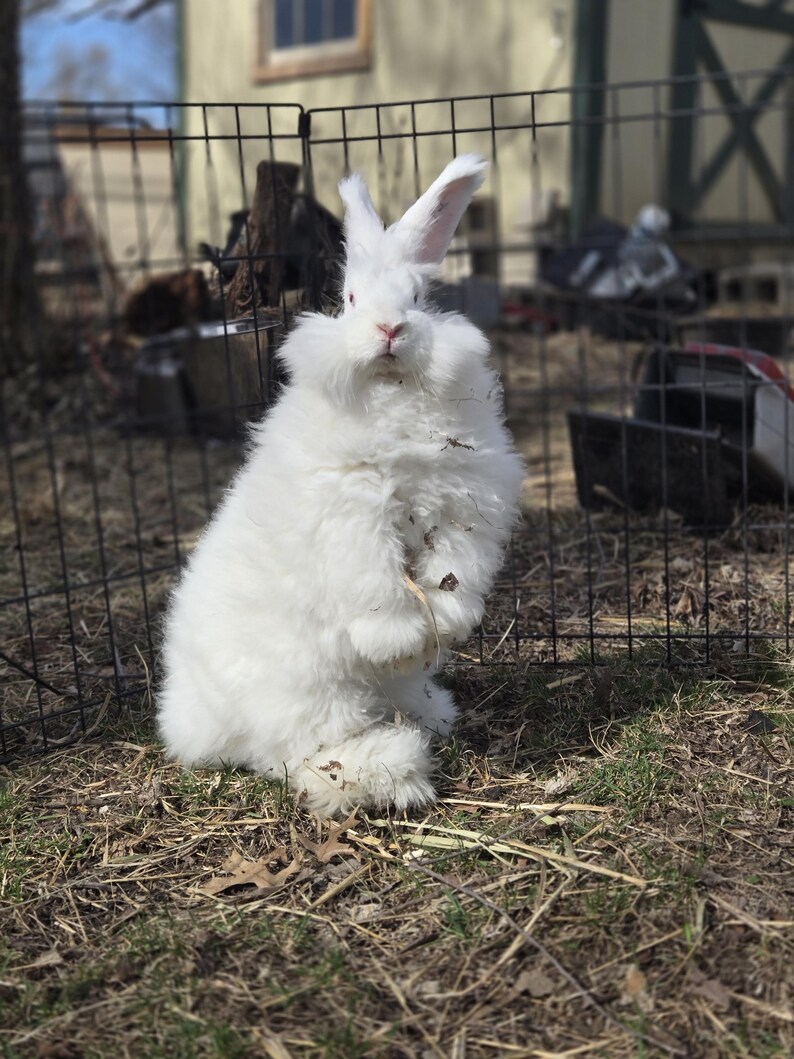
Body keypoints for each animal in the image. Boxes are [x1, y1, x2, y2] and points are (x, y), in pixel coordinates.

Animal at [157, 154, 525, 816]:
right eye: (349, 298)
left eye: (418, 296)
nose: (390, 329)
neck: (392, 394)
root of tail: (190, 727)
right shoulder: (352, 515)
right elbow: (375, 586)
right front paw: (401, 634)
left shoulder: (467, 507)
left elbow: (455, 572)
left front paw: (446, 622)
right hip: (312, 687)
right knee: (298, 757)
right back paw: (395, 770)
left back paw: (432, 713)